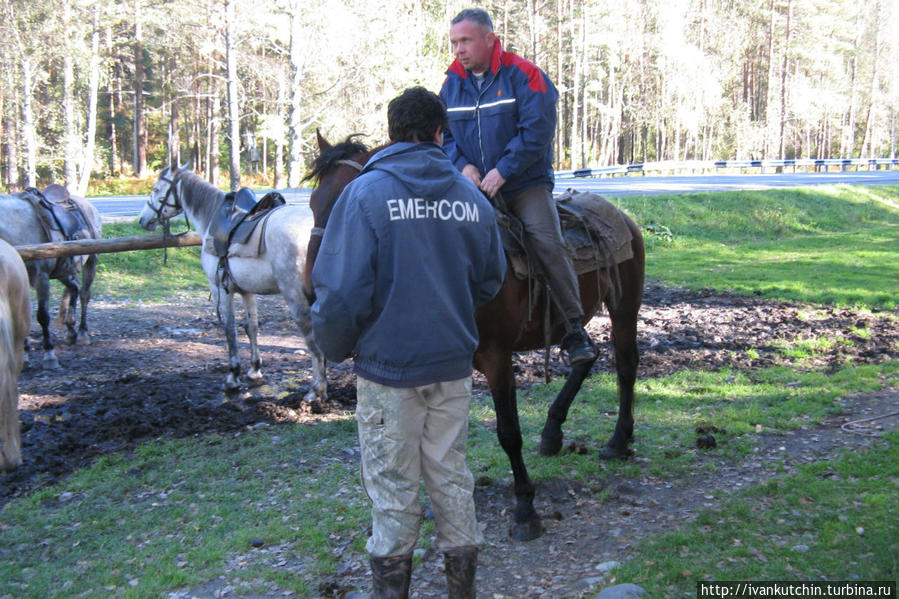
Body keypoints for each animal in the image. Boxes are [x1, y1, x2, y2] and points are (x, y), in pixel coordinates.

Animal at [139, 165, 326, 398]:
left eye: (156, 189)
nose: (143, 220)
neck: (211, 218)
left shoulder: (221, 288)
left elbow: (230, 330)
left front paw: (233, 376)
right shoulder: (247, 290)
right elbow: (252, 327)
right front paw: (254, 370)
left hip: (296, 296)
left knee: (312, 338)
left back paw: (316, 389)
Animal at [306, 135, 644, 544]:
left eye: (347, 202)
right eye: (312, 203)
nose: (312, 287)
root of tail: (624, 217)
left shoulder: (497, 358)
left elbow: (508, 432)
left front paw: (525, 510)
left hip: (624, 308)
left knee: (625, 365)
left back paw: (617, 441)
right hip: (575, 319)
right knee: (587, 355)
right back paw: (552, 433)